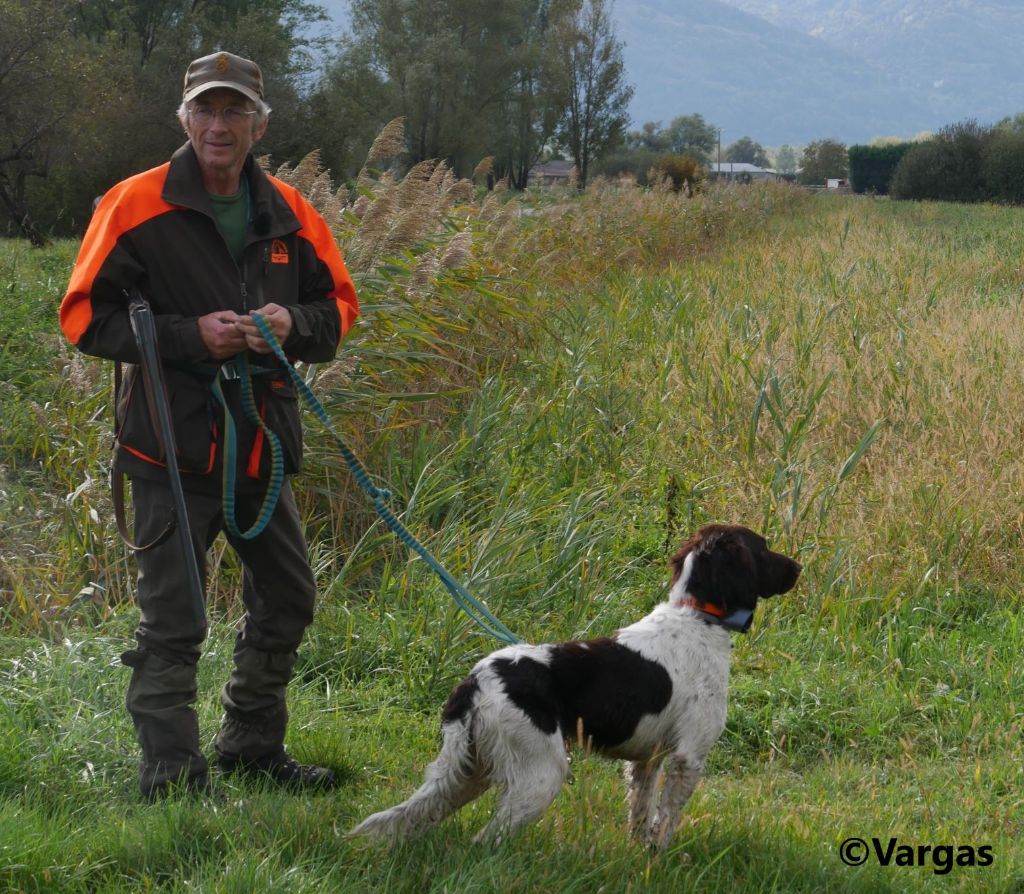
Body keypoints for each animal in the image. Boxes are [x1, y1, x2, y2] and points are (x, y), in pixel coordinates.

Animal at [352, 528, 798, 847]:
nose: (797, 567)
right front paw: (659, 859)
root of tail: (474, 682)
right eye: (763, 548)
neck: (696, 617)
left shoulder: (647, 760)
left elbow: (641, 814)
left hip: (466, 771)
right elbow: (666, 821)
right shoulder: (689, 754)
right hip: (540, 774)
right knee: (486, 839)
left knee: (418, 815)